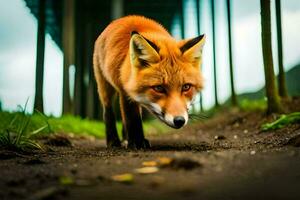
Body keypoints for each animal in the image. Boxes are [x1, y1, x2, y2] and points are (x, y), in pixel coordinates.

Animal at [93, 15, 206, 148]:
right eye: (159, 88)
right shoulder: (125, 91)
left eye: (186, 87)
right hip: (105, 86)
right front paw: (137, 142)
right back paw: (113, 141)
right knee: (108, 111)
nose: (179, 120)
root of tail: (124, 18)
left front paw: (132, 140)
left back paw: (125, 138)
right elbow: (132, 118)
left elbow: (129, 118)